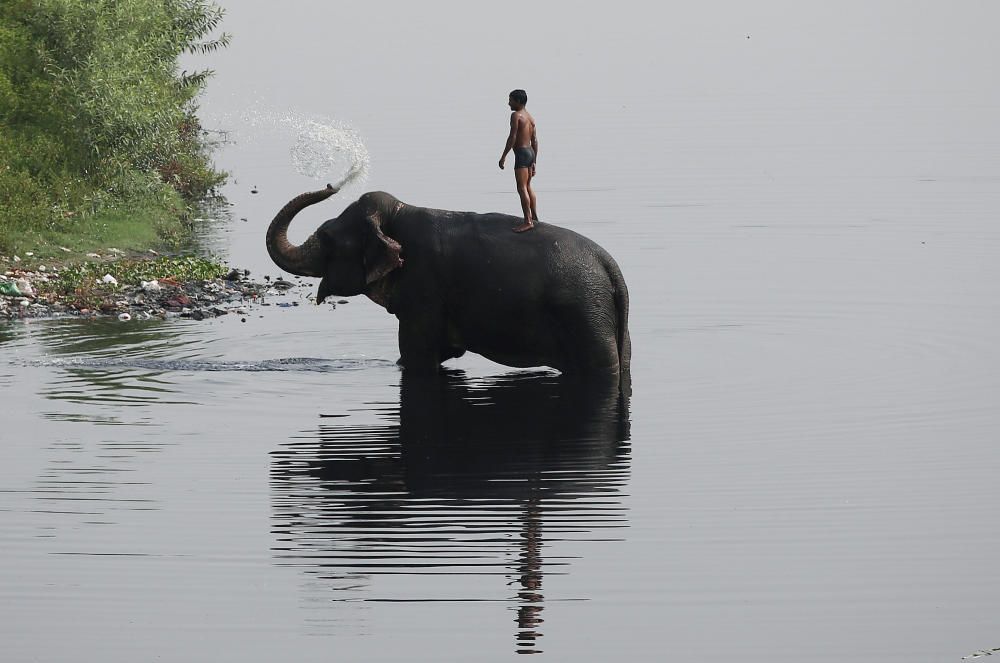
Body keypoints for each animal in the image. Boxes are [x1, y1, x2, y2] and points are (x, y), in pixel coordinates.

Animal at [262, 184, 628, 386]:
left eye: (326, 236)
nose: (331, 186)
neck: (399, 213)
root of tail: (612, 269)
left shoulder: (424, 291)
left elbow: (417, 354)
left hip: (585, 315)